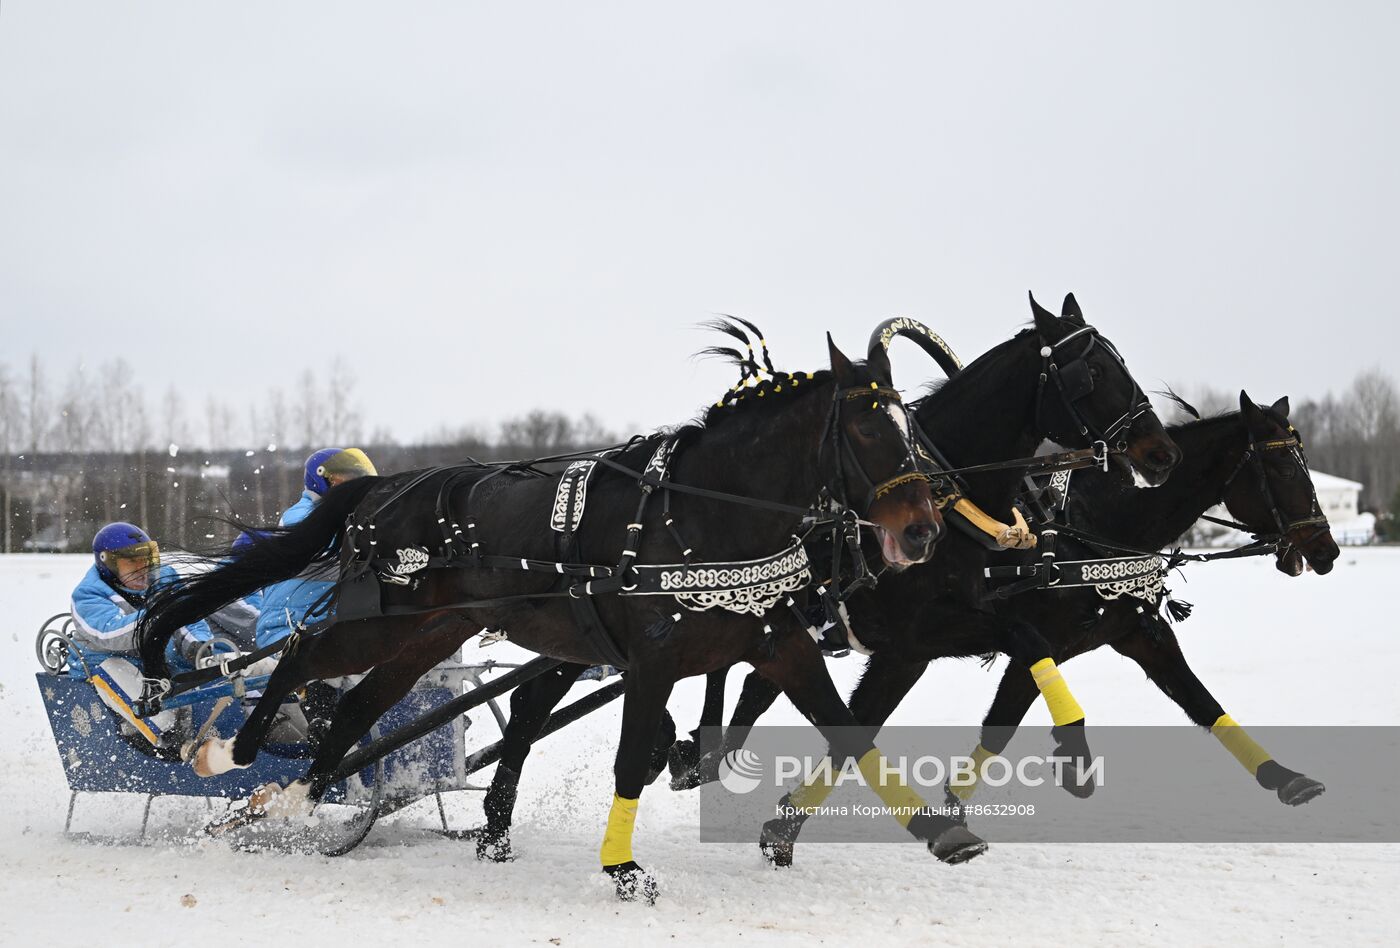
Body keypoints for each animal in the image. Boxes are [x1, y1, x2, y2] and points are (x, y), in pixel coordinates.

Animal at [139, 333, 974, 901]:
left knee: (362, 705)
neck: (704, 517)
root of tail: (386, 488)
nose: (924, 532)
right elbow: (632, 755)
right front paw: (624, 867)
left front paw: (942, 832)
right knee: (307, 652)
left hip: (431, 634)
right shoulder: (654, 661)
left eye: (911, 427)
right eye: (867, 430)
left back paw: (298, 793)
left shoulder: (779, 646)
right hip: (382, 620)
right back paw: (234, 753)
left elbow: (852, 732)